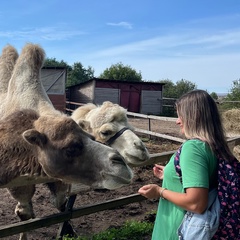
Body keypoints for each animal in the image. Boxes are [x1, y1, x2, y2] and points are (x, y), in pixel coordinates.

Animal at [0, 43, 133, 240]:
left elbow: (61, 204)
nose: (121, 163)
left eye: (92, 137)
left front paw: (69, 231)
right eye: (70, 148)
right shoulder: (19, 181)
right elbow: (25, 213)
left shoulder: (58, 178)